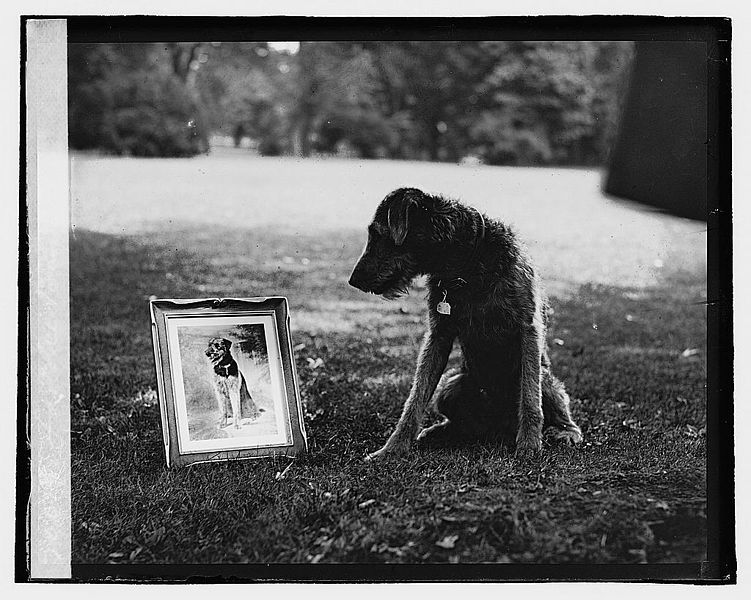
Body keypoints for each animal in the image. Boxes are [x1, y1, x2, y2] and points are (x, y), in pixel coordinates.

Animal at [350, 188, 584, 460]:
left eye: (378, 233)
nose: (353, 280)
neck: (467, 267)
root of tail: (496, 426)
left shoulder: (527, 330)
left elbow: (530, 398)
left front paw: (529, 445)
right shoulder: (439, 335)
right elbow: (416, 397)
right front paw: (392, 448)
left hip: (546, 381)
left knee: (554, 405)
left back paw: (566, 432)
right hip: (450, 386)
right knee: (460, 421)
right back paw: (440, 430)